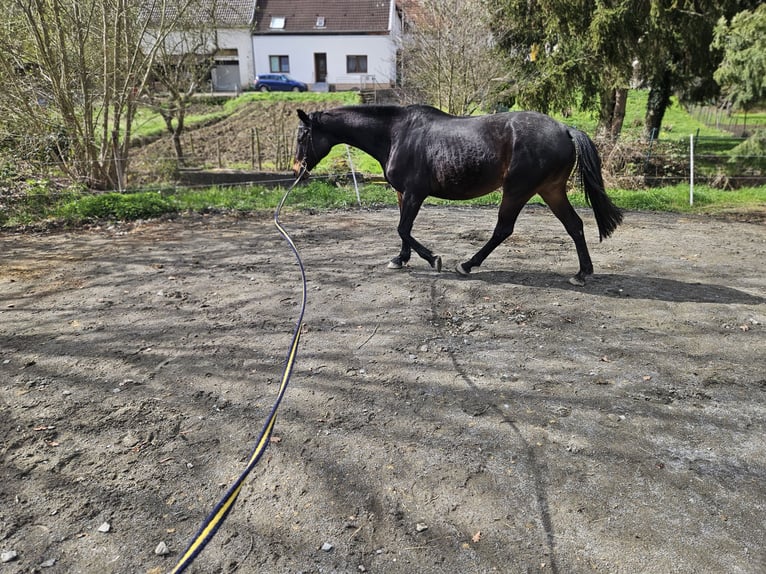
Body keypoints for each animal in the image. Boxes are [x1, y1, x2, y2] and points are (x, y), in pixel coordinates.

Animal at [294, 104, 624, 288]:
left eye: (301, 135)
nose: (297, 169)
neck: (396, 133)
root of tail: (566, 129)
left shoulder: (414, 193)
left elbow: (403, 228)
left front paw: (434, 259)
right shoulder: (403, 194)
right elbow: (402, 230)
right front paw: (400, 259)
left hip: (518, 190)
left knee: (504, 229)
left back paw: (466, 264)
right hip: (550, 190)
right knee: (575, 226)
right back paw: (582, 273)